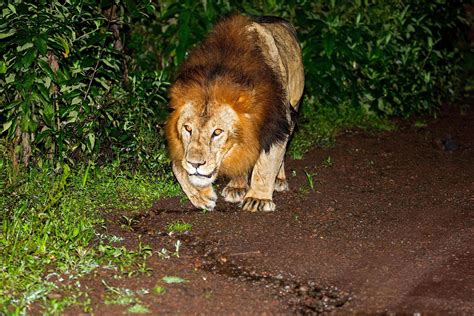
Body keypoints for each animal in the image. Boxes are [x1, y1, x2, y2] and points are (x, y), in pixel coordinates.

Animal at [165, 14, 306, 212]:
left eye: (217, 132)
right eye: (187, 128)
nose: (195, 164)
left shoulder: (277, 122)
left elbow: (267, 162)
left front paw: (258, 199)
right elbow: (177, 166)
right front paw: (200, 194)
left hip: (294, 103)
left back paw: (278, 179)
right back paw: (236, 186)